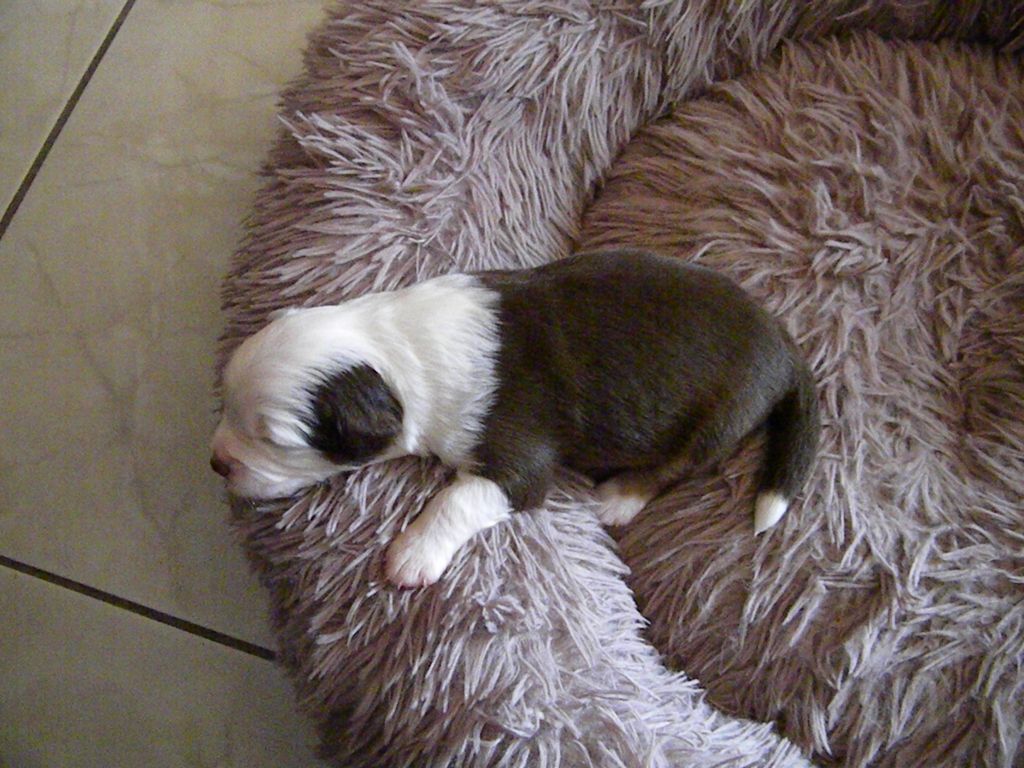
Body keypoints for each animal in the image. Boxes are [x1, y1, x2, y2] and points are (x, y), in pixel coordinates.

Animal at [211, 250, 819, 587]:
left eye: (273, 439)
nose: (216, 464)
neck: (391, 351)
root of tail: (788, 347)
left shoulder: (514, 459)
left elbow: (457, 500)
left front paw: (411, 557)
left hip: (720, 416)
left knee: (679, 466)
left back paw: (619, 496)